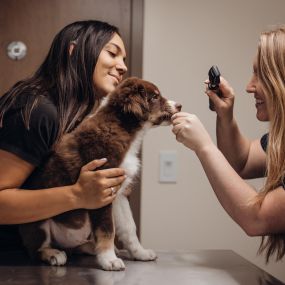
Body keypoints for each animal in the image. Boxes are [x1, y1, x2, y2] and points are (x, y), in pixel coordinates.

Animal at [18, 76, 181, 270]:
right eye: (155, 97)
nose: (180, 105)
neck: (124, 128)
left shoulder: (118, 194)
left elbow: (129, 227)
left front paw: (140, 253)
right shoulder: (100, 192)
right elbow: (107, 229)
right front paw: (109, 260)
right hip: (37, 223)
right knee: (35, 249)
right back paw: (53, 254)